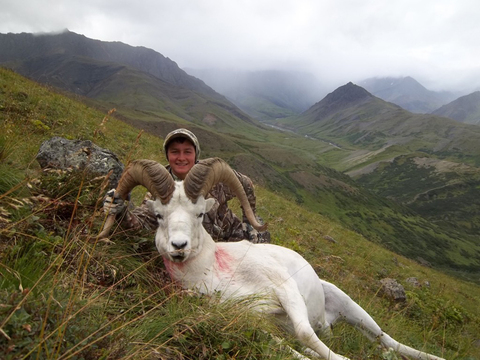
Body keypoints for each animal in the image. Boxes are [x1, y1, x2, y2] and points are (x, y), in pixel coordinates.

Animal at [100, 158, 446, 360]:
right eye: (159, 215)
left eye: (199, 214)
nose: (179, 246)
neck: (214, 273)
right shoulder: (253, 324)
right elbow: (290, 347)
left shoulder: (285, 291)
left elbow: (305, 332)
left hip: (354, 309)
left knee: (388, 341)